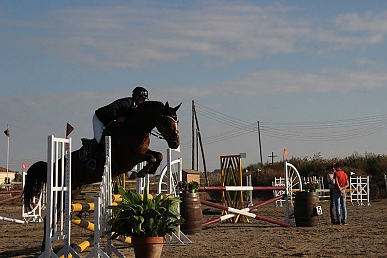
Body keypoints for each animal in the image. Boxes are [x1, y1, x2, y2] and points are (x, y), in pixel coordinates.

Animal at [22, 101, 182, 252]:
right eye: (166, 122)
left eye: (177, 121)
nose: (175, 144)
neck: (135, 128)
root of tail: (55, 164)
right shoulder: (128, 159)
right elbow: (152, 157)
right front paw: (143, 171)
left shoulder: (141, 153)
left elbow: (158, 155)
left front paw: (149, 170)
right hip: (60, 191)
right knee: (49, 217)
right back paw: (46, 247)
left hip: (74, 190)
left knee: (58, 215)